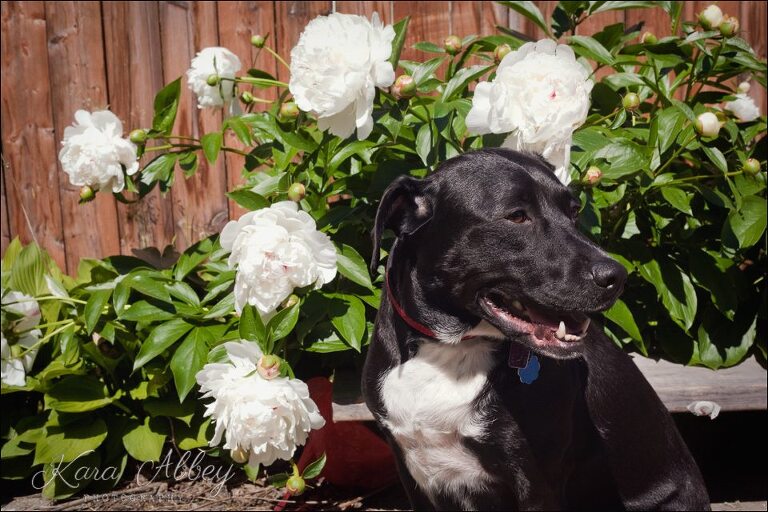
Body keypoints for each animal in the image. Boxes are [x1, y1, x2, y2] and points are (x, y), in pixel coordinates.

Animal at [364, 149, 712, 512]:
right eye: (517, 216)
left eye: (573, 211)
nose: (617, 276)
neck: (449, 348)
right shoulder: (412, 471)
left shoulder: (536, 479)